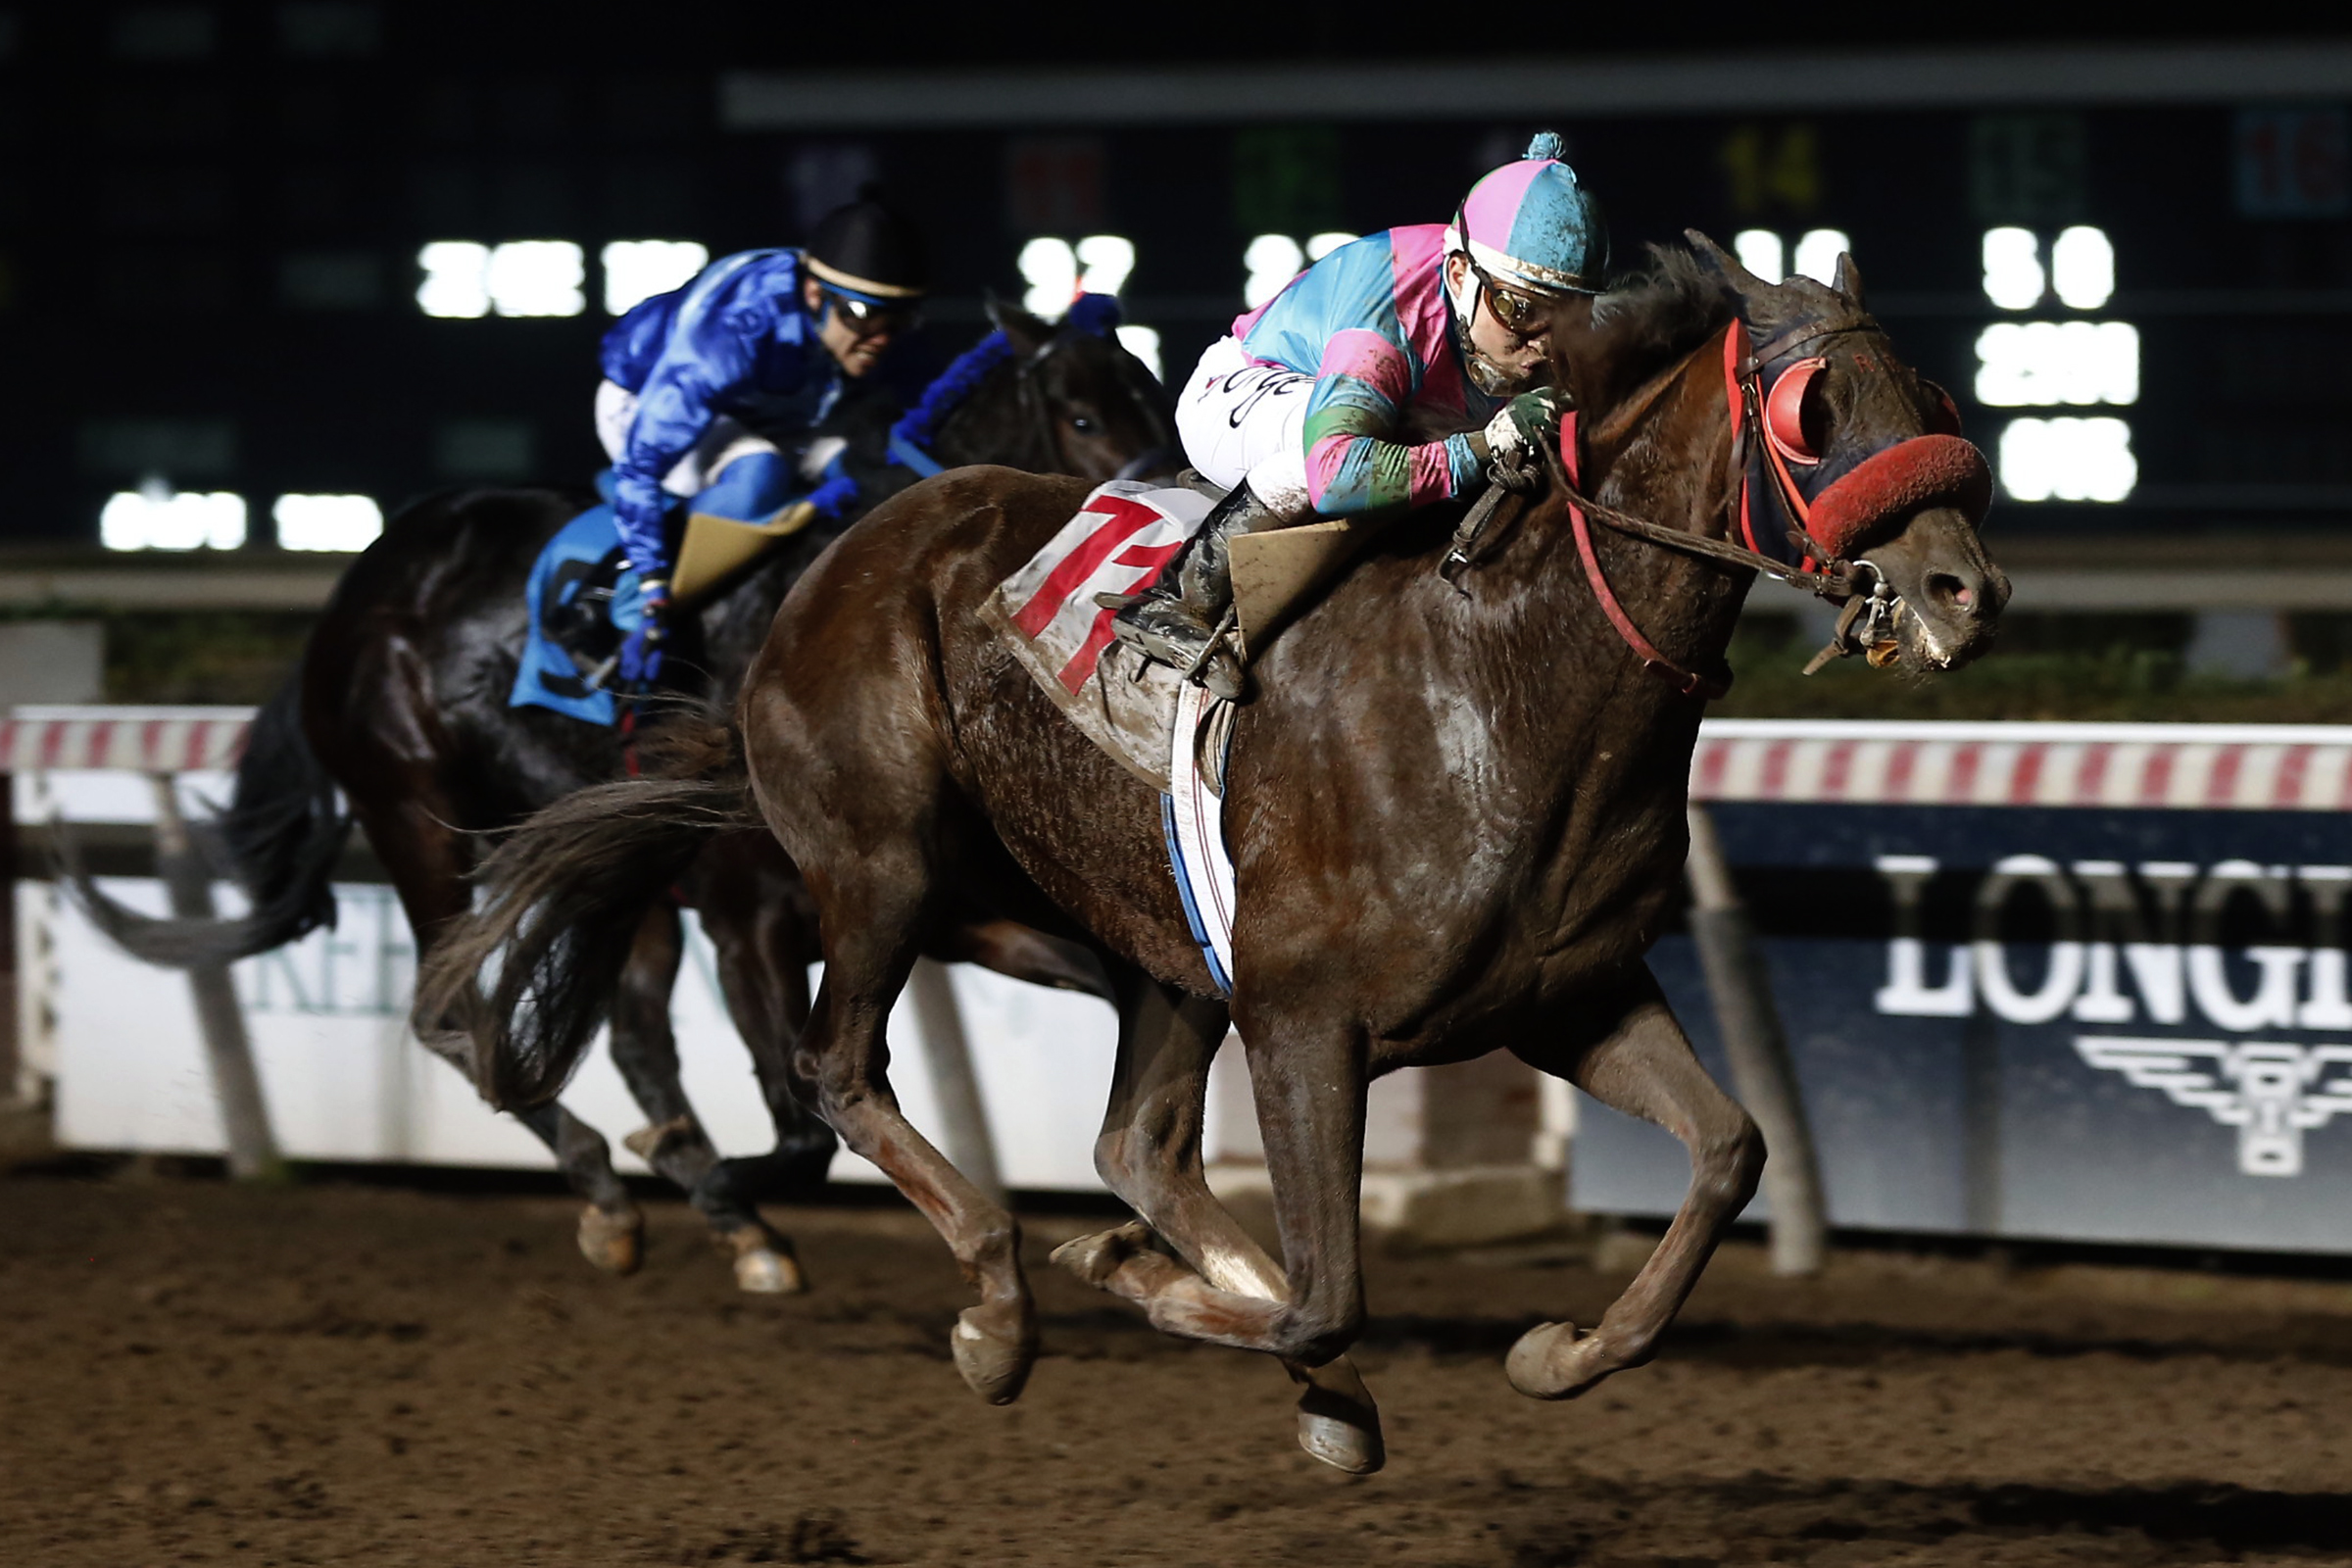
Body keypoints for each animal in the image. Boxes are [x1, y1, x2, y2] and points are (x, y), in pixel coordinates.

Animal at [72, 301, 1176, 1289]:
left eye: (1156, 393)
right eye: (1083, 418)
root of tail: (362, 583)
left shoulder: (961, 913)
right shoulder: (749, 923)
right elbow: (800, 1128)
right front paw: (710, 1183)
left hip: (614, 874)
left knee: (631, 1034)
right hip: (415, 814)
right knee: (451, 1011)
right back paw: (612, 1186)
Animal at [421, 235, 2008, 1472]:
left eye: (1934, 399)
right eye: (1812, 408)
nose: (1964, 591)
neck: (1505, 678)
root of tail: (842, 554)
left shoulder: (1567, 998)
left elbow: (1729, 1151)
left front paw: (1555, 1352)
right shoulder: (1305, 1019)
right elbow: (1326, 1291)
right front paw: (1149, 1291)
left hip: (1159, 946)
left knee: (1132, 1142)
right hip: (881, 868)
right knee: (837, 1072)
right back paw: (993, 1299)